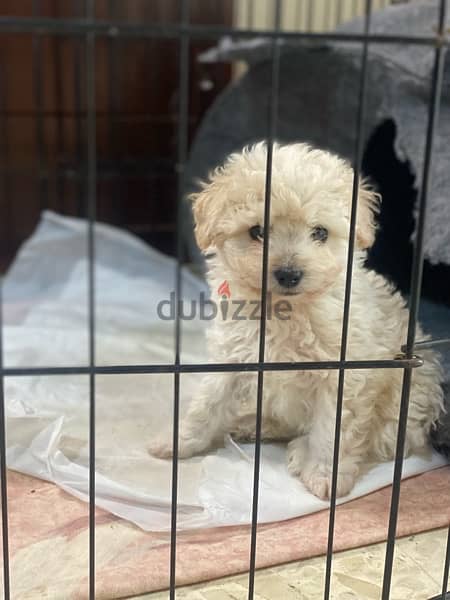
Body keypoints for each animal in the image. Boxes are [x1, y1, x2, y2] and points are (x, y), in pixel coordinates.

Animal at [149, 143, 442, 500]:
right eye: (257, 232)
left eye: (320, 233)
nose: (289, 274)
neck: (285, 312)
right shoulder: (233, 355)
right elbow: (206, 404)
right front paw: (177, 440)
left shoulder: (343, 375)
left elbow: (333, 430)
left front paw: (325, 475)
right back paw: (252, 424)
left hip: (402, 408)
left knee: (381, 444)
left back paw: (301, 449)